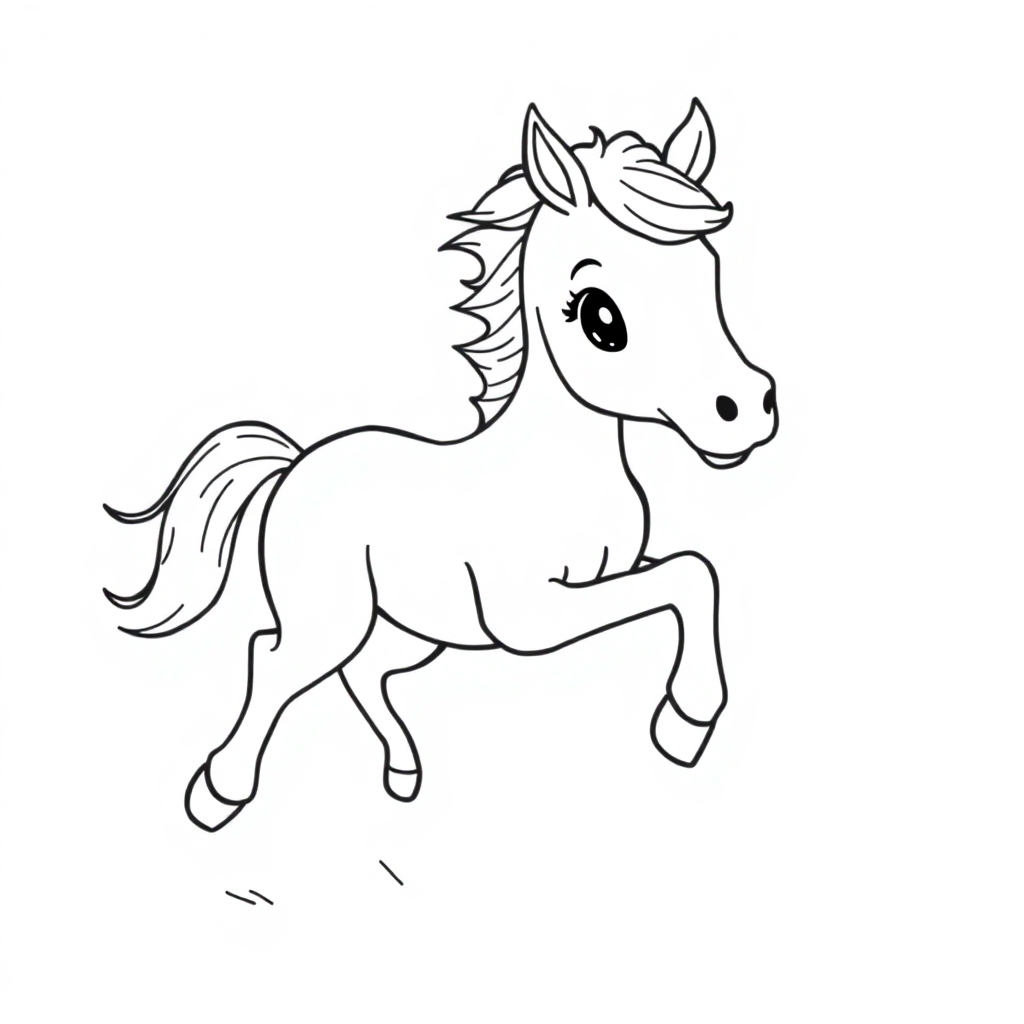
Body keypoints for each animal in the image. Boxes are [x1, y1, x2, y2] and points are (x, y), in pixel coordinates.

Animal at [104, 101, 778, 831]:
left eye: (709, 273)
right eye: (600, 316)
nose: (745, 407)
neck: (557, 478)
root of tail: (295, 466)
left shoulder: (607, 574)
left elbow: (695, 573)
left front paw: (685, 725)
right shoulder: (528, 617)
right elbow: (683, 578)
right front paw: (683, 723)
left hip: (413, 625)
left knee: (363, 672)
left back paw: (403, 774)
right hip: (333, 618)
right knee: (274, 658)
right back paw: (218, 792)